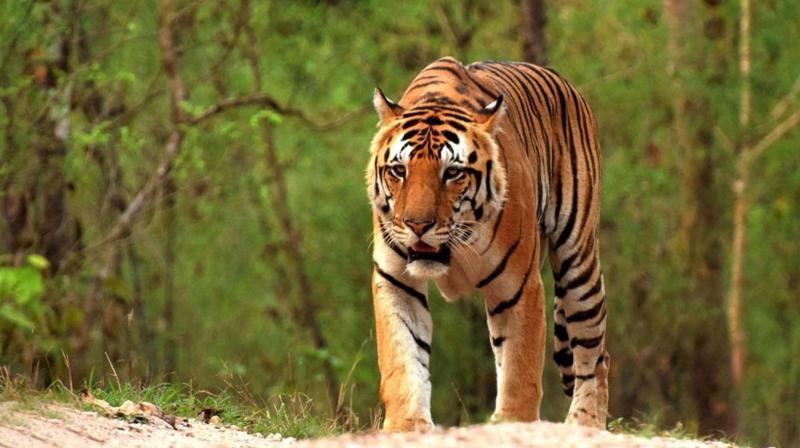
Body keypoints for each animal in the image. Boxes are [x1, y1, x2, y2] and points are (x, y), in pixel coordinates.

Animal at [366, 57, 609, 432]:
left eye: (452, 173)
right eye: (399, 170)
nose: (417, 225)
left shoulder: (519, 286)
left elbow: (521, 367)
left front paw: (513, 423)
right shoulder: (396, 280)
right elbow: (402, 358)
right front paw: (406, 425)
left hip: (578, 262)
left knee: (594, 352)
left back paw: (585, 423)